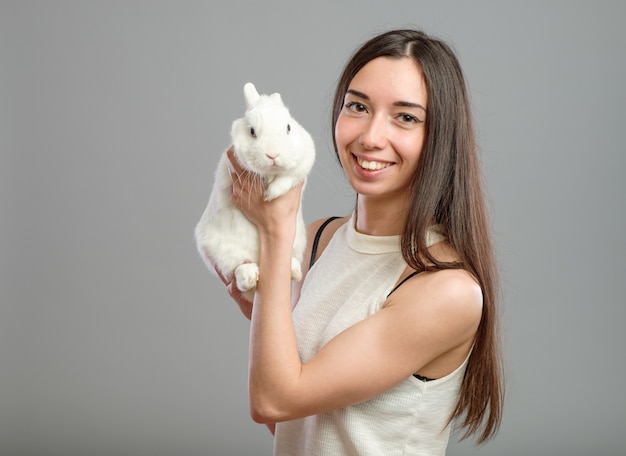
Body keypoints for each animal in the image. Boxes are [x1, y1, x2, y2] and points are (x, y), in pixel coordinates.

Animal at [194, 83, 314, 302]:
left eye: (288, 128)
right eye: (252, 131)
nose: (273, 154)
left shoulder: (304, 161)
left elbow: (288, 177)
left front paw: (271, 193)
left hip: (297, 243)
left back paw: (293, 269)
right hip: (217, 249)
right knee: (237, 271)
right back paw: (250, 276)